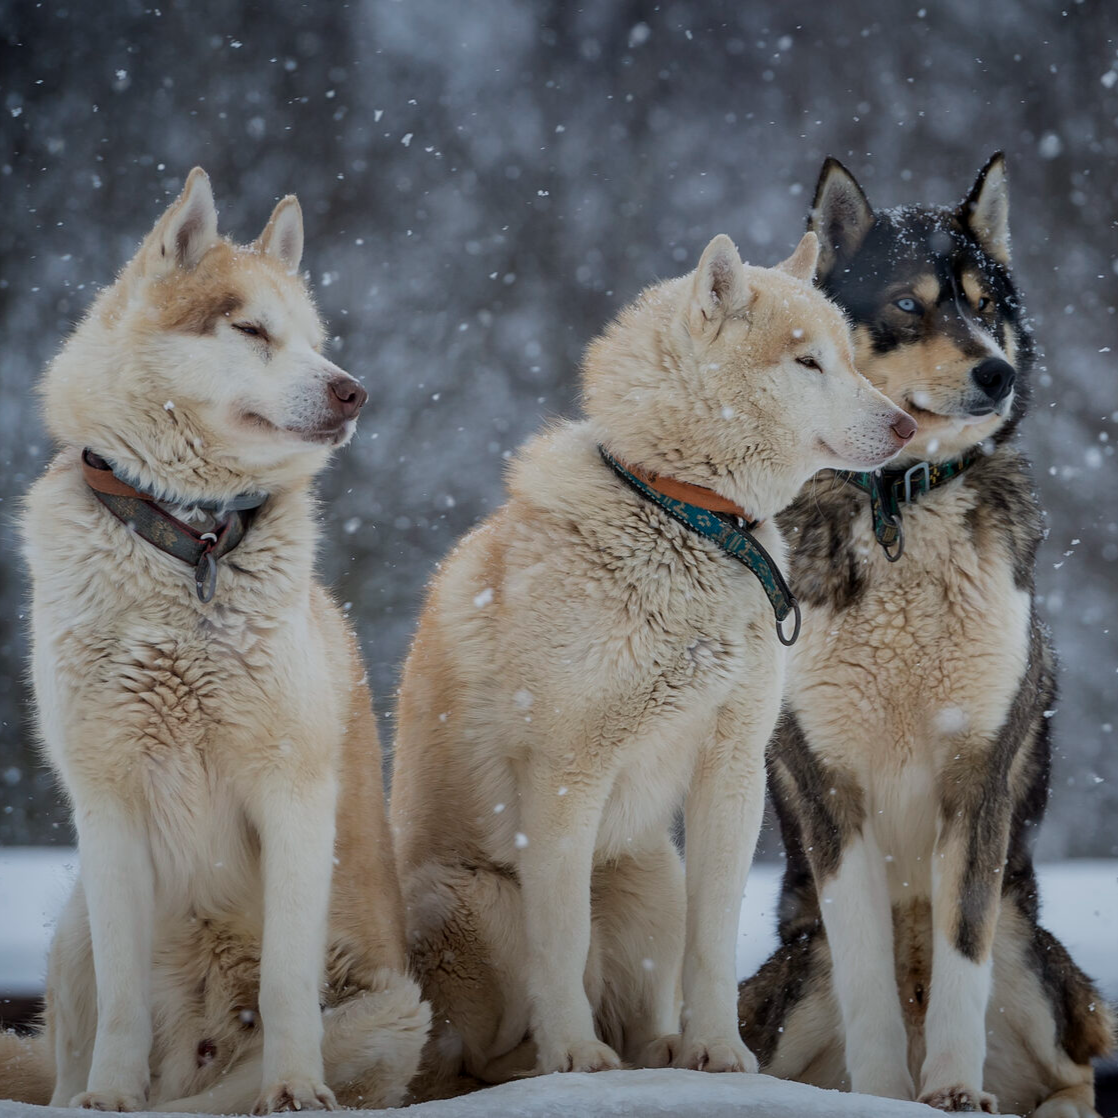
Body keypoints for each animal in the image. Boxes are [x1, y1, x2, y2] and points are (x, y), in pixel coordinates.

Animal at [1, 169, 427, 1113]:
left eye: (315, 342)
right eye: (252, 330)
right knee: (77, 1049)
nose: (353, 390)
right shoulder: (107, 803)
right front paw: (108, 1099)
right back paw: (97, 1093)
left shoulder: (293, 791)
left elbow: (286, 982)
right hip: (76, 923)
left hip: (395, 1009)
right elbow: (122, 1000)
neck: (191, 541)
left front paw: (296, 1089)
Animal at [393, 231, 916, 1095]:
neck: (691, 518)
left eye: (850, 356)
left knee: (637, 1014)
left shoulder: (731, 767)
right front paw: (574, 1056)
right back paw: (543, 1057)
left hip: (651, 883)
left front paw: (719, 1053)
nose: (908, 423)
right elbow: (562, 940)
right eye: (807, 362)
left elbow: (713, 942)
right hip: (479, 899)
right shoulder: (565, 774)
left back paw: (664, 1049)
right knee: (468, 1059)